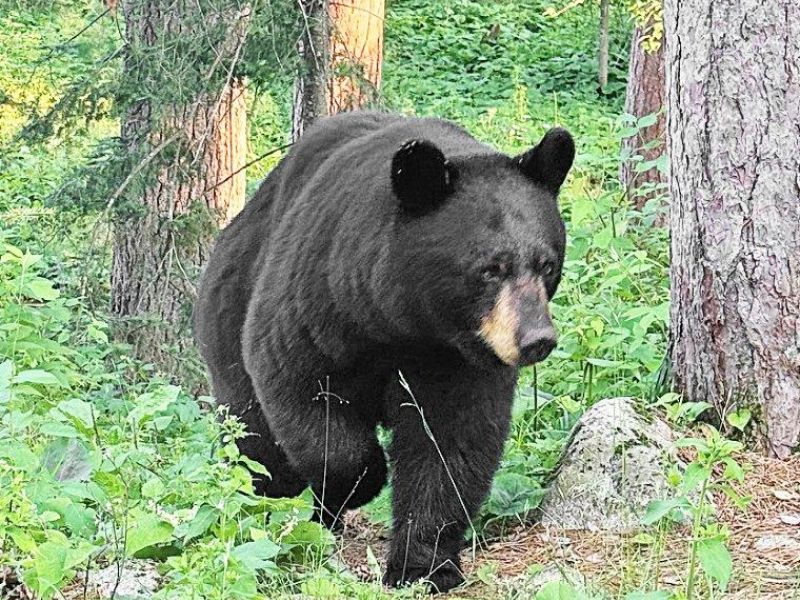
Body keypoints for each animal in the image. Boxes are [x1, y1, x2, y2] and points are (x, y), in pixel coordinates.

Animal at [193, 111, 574, 593]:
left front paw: (423, 566)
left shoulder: (456, 358)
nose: (537, 338)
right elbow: (299, 389)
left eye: (547, 265)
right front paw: (361, 481)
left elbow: (451, 443)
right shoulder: (321, 301)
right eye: (491, 269)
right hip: (227, 320)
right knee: (254, 437)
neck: (403, 321)